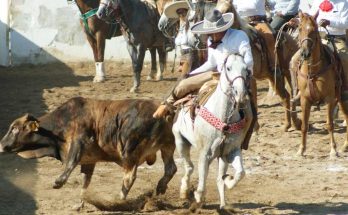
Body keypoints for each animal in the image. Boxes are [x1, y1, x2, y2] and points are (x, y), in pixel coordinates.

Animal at [0, 97, 178, 208]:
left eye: (15, 128)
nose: (1, 145)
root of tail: (163, 111)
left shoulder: (78, 142)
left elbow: (71, 163)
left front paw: (58, 182)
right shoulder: (89, 160)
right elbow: (86, 181)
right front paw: (80, 203)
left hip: (130, 151)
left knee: (129, 177)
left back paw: (118, 200)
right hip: (167, 145)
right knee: (171, 168)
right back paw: (160, 188)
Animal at [173, 53, 253, 208]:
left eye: (246, 69)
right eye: (228, 68)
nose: (240, 94)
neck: (224, 118)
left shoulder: (231, 151)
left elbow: (240, 173)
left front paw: (228, 180)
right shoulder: (205, 153)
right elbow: (202, 179)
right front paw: (198, 196)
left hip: (222, 157)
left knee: (218, 178)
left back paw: (223, 204)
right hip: (180, 141)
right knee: (189, 167)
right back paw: (184, 191)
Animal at [294, 12, 348, 158]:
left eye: (314, 30)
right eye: (300, 28)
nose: (305, 53)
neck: (313, 70)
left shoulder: (329, 99)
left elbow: (330, 124)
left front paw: (333, 150)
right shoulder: (304, 100)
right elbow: (304, 126)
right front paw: (301, 150)